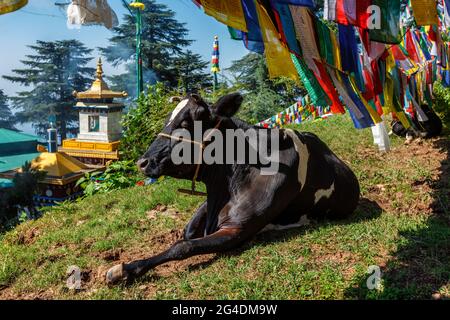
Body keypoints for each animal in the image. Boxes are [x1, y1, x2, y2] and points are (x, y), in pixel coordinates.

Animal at [104, 92, 358, 284]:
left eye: (186, 123)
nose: (142, 162)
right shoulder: (209, 203)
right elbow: (188, 232)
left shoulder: (237, 229)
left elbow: (183, 246)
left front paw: (125, 269)